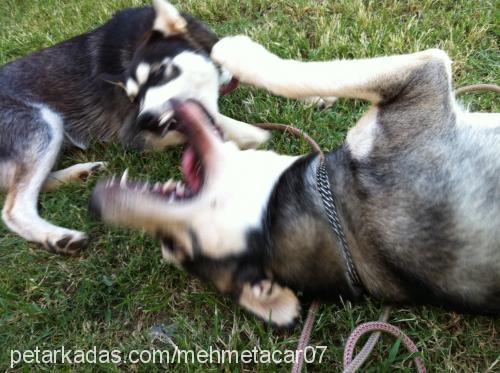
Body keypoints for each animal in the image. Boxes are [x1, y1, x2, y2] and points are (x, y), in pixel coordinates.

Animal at [0, 0, 270, 253]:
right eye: (133, 98)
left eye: (159, 72)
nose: (145, 120)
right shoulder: (133, 134)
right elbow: (209, 122)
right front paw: (252, 136)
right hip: (42, 123)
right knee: (14, 208)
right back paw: (58, 237)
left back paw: (81, 173)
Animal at [91, 35, 500, 326]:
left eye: (171, 247)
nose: (97, 204)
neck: (341, 223)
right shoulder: (423, 82)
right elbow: (303, 77)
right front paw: (235, 50)